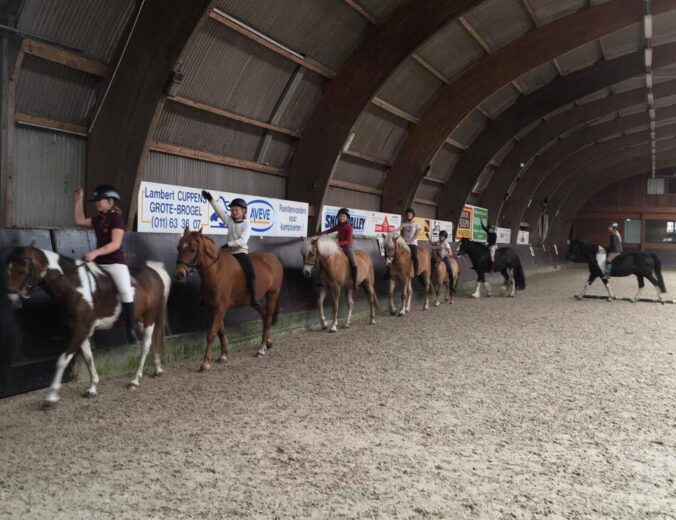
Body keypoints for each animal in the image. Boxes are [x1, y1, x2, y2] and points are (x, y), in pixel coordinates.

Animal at [4, 244, 172, 406]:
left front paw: (51, 397)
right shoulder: (81, 330)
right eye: (8, 269)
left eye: (22, 269)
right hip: (138, 320)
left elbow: (62, 360)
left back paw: (135, 380)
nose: (11, 297)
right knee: (151, 341)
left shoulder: (81, 329)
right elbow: (88, 358)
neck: (75, 287)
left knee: (145, 345)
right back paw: (157, 368)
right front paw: (92, 388)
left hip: (150, 316)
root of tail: (153, 271)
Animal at [176, 229, 284, 370]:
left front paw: (205, 363)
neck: (215, 269)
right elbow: (220, 331)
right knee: (265, 316)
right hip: (255, 300)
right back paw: (268, 342)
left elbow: (212, 333)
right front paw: (223, 355)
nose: (179, 273)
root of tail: (273, 258)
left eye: (193, 249)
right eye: (178, 247)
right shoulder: (213, 308)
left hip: (272, 294)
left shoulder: (220, 308)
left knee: (268, 317)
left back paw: (261, 349)